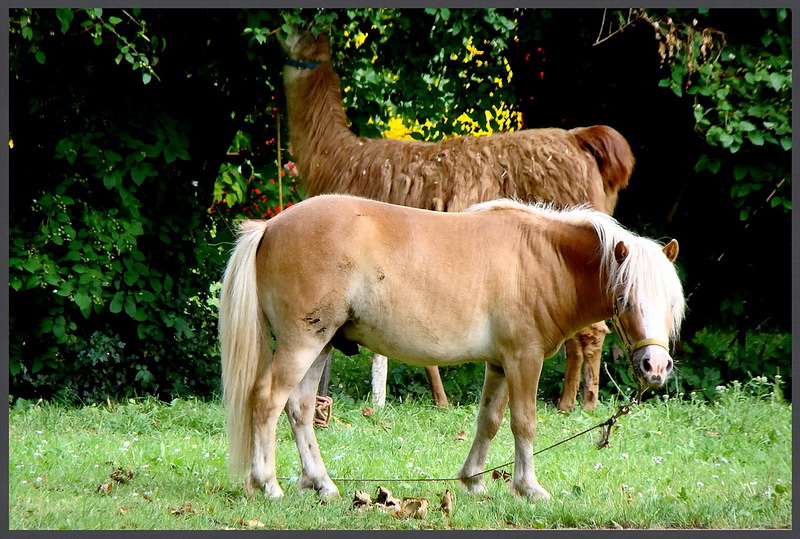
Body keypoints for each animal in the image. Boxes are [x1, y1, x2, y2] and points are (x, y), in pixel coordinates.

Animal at [220, 195, 688, 502]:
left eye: (670, 303)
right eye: (625, 299)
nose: (655, 367)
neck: (543, 259)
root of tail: (270, 227)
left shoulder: (500, 364)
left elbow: (489, 422)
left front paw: (474, 481)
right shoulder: (524, 359)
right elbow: (524, 423)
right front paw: (529, 488)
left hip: (320, 346)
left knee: (300, 408)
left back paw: (321, 484)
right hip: (302, 344)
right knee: (267, 401)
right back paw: (268, 484)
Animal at [278, 30, 636, 410]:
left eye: (296, 28)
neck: (341, 158)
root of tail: (580, 140)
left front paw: (424, 400)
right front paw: (433, 399)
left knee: (592, 330)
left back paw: (582, 403)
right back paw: (569, 401)